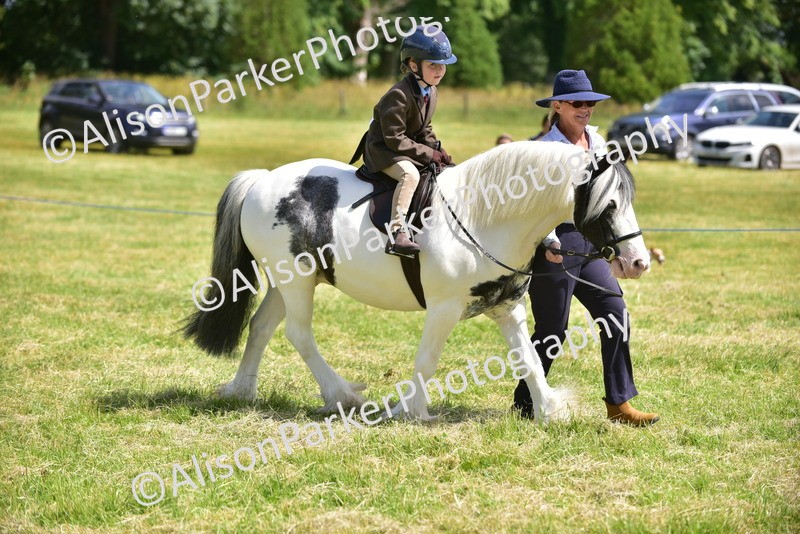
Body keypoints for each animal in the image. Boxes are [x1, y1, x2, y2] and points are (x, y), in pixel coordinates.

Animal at [183, 141, 650, 423]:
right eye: (610, 205)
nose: (638, 262)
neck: (485, 215)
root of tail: (262, 179)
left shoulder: (508, 309)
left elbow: (529, 360)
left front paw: (549, 409)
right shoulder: (444, 309)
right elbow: (427, 359)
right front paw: (411, 410)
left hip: (289, 282)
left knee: (261, 328)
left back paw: (242, 390)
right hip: (296, 282)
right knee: (299, 334)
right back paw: (342, 395)